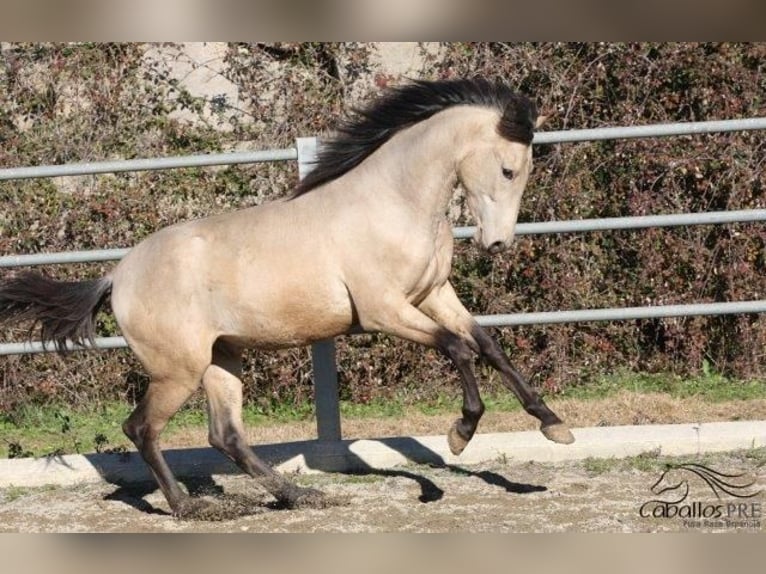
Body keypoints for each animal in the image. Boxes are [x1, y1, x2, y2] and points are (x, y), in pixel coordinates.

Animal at [0, 74, 572, 520]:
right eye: (508, 169)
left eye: (523, 171)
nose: (497, 243)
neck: (392, 202)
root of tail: (116, 277)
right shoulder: (384, 310)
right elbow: (458, 348)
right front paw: (460, 432)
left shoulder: (433, 294)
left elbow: (488, 345)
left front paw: (553, 425)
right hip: (177, 370)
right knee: (141, 428)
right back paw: (192, 507)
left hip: (221, 360)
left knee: (226, 436)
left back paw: (300, 495)